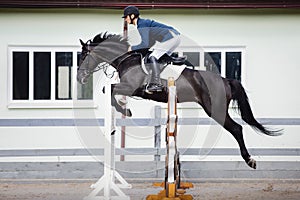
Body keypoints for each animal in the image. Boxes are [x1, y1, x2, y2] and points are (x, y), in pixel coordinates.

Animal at [78, 32, 282, 169]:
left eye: (83, 56)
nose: (80, 78)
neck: (126, 59)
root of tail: (225, 80)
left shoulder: (131, 87)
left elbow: (109, 89)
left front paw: (124, 110)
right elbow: (110, 91)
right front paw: (123, 110)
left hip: (214, 109)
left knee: (237, 128)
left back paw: (250, 160)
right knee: (237, 128)